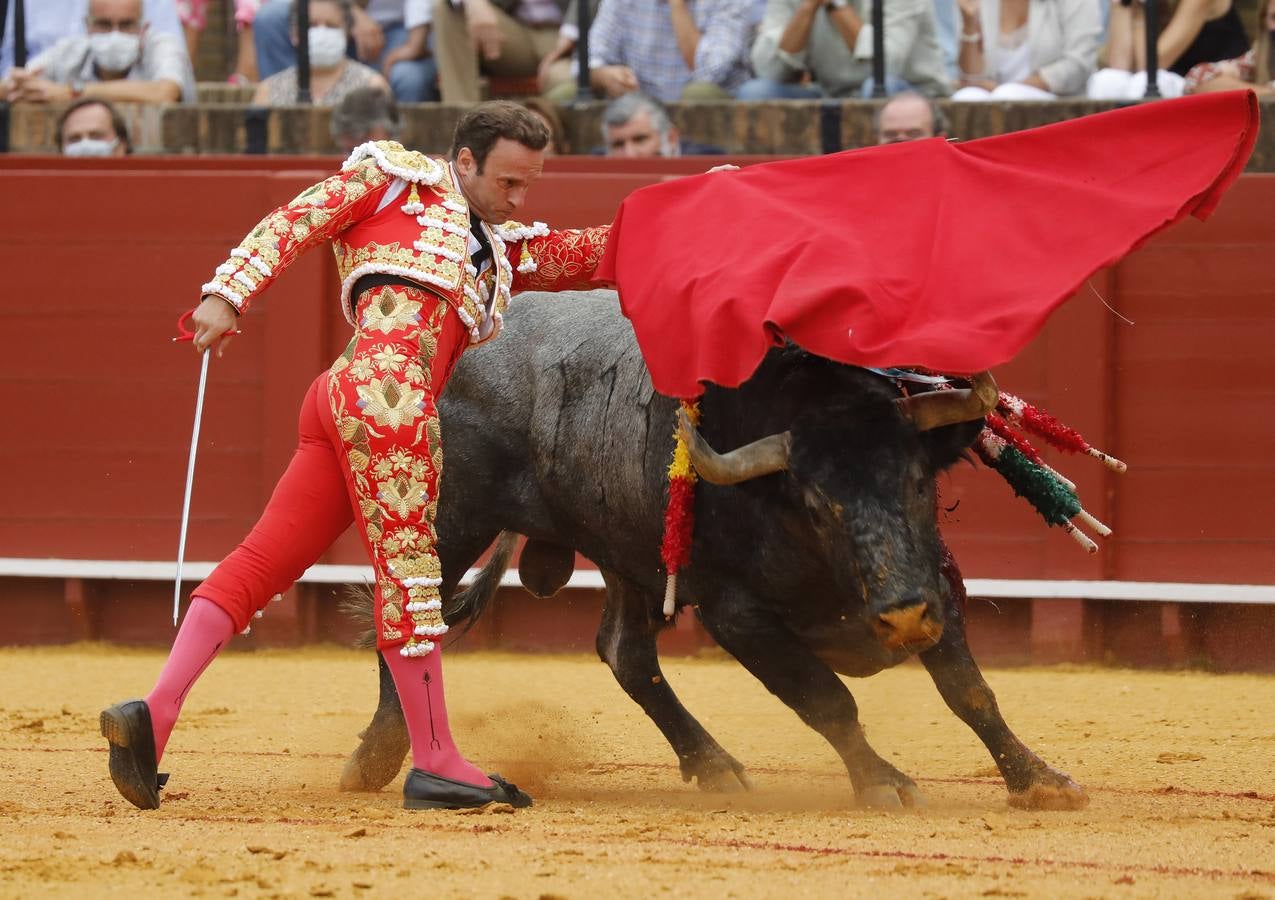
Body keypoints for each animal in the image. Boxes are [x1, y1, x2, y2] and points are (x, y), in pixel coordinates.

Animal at [336, 290, 1086, 810]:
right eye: (816, 503)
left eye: (916, 482)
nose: (901, 620)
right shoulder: (738, 614)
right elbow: (827, 700)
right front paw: (884, 783)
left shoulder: (934, 581)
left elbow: (969, 691)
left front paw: (1039, 779)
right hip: (450, 519)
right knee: (408, 616)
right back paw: (377, 756)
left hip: (623, 549)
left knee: (625, 653)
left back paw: (713, 764)